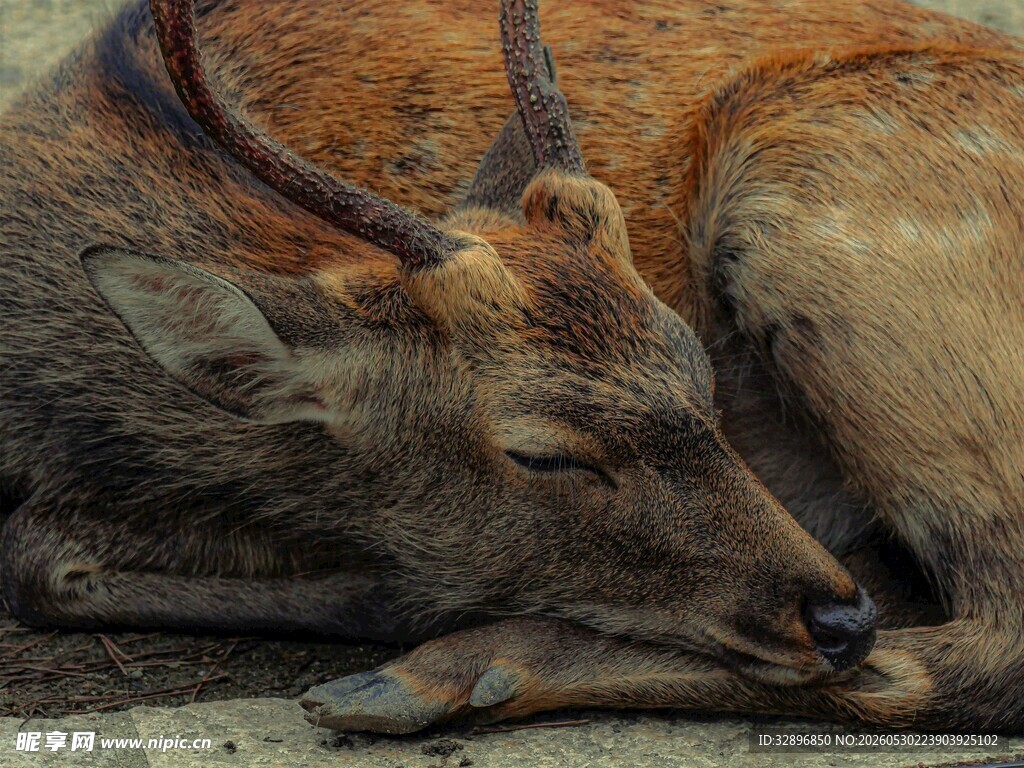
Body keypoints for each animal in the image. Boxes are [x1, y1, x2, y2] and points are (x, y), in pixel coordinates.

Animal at [0, 0, 1021, 735]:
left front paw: (413, 604)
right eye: (543, 454)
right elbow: (40, 559)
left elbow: (31, 557)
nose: (841, 622)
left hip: (824, 218)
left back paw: (426, 680)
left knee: (994, 643)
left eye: (706, 383)